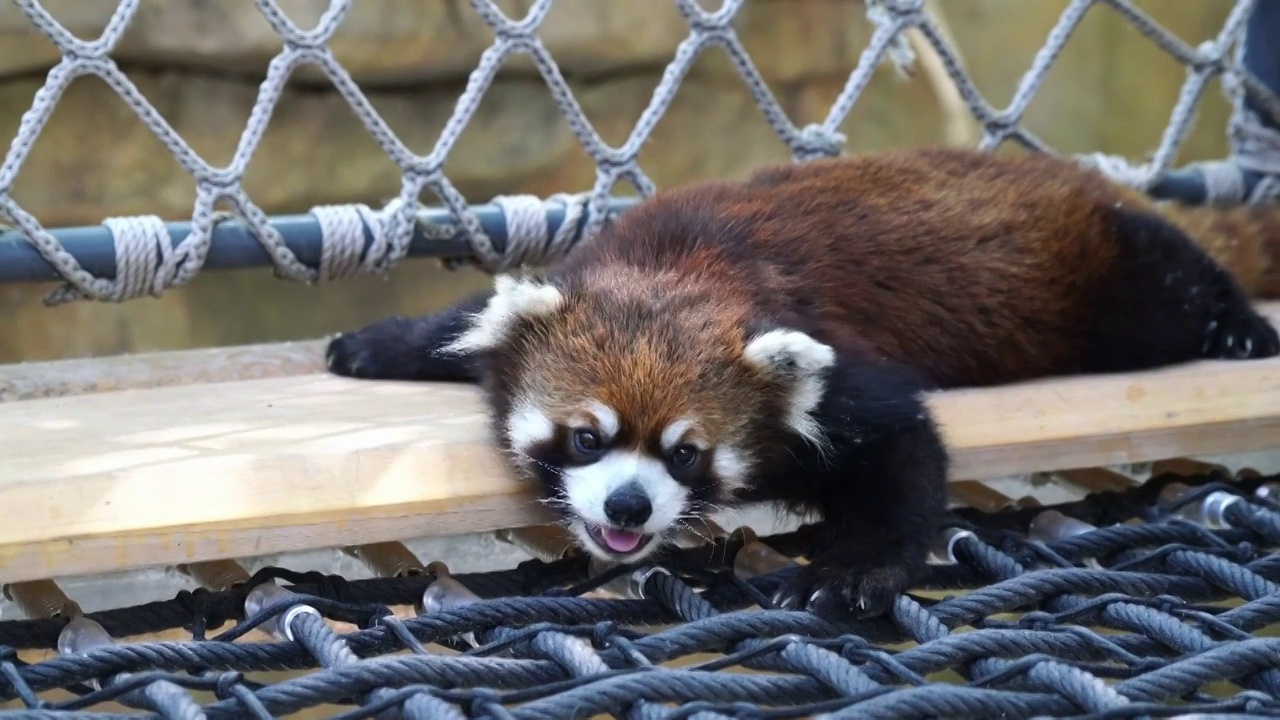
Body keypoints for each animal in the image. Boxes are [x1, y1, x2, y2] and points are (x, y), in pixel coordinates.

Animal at [322, 144, 1280, 617]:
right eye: (588, 437)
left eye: (686, 455)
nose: (628, 507)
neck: (679, 266)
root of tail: (1074, 174)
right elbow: (468, 320)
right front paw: (383, 343)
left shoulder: (838, 363)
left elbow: (900, 454)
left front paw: (850, 572)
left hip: (1108, 284)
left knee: (1176, 279)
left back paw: (1237, 325)